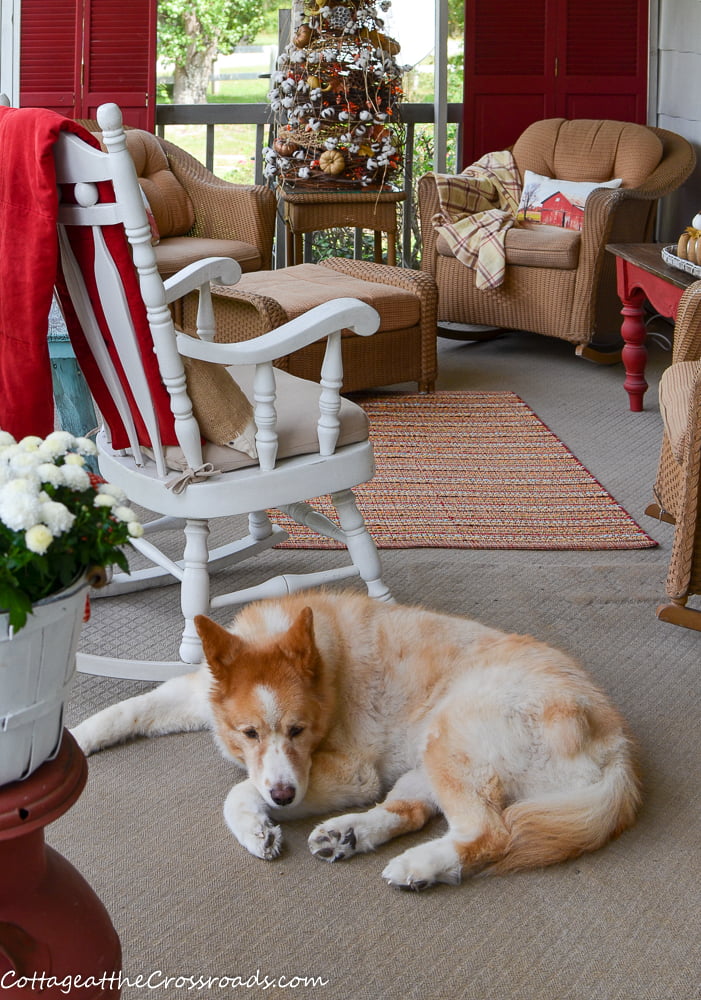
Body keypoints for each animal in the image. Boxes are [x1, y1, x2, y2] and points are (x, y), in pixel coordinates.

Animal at [72, 588, 640, 888]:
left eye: (298, 729)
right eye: (249, 731)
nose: (284, 798)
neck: (328, 666)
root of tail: (614, 741)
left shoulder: (351, 771)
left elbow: (239, 791)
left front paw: (256, 827)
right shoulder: (196, 694)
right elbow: (127, 710)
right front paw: (74, 740)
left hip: (451, 740)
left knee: (487, 834)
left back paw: (417, 865)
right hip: (431, 758)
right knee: (411, 811)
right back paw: (348, 835)